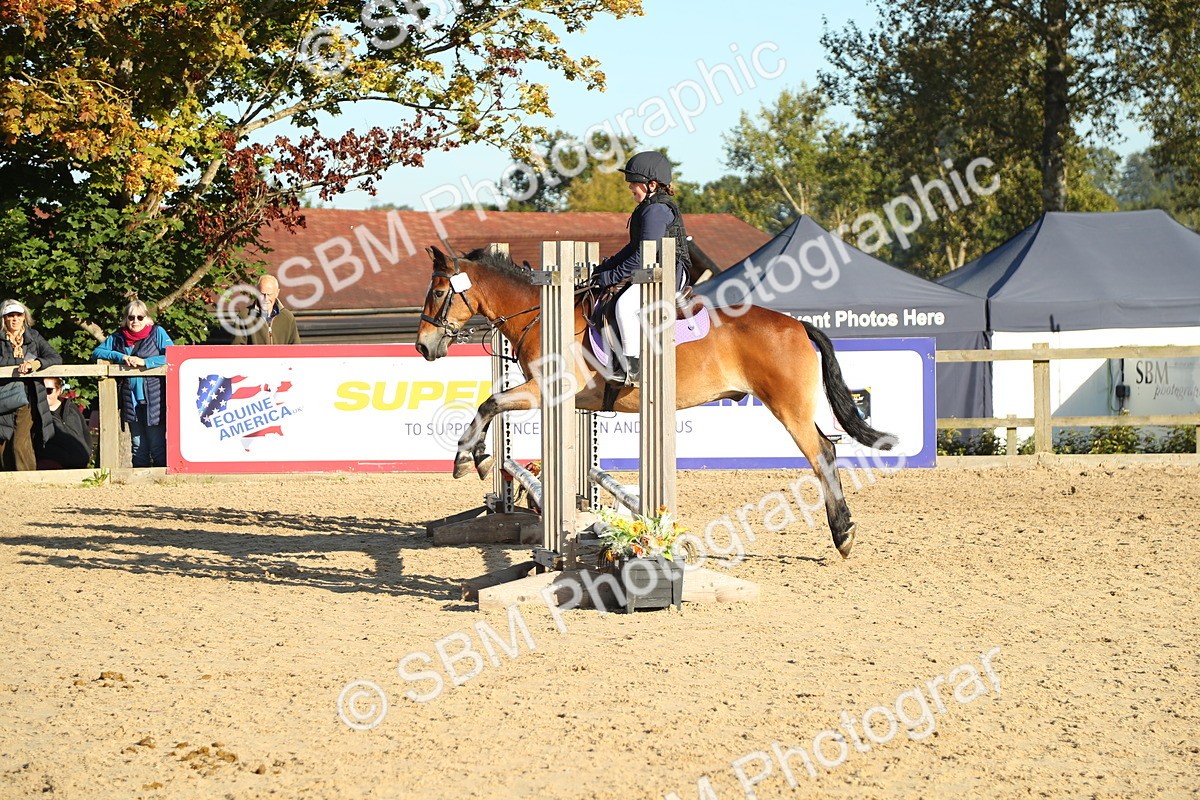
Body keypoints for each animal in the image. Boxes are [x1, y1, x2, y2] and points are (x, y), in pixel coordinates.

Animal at [414, 246, 895, 558]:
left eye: (437, 292)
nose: (422, 346)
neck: (541, 314)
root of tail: (797, 325)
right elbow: (490, 405)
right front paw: (479, 459)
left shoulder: (544, 392)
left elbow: (489, 404)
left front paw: (467, 459)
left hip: (789, 407)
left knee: (823, 453)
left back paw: (843, 535)